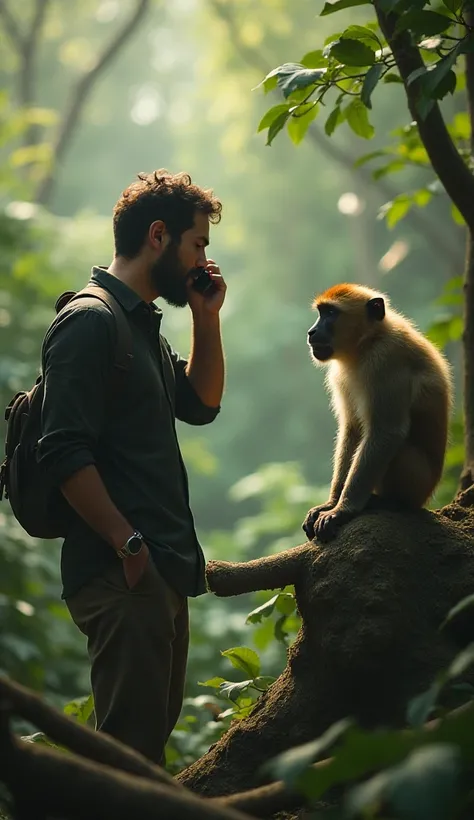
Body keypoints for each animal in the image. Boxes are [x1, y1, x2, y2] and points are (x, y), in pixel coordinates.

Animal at [304, 284, 452, 544]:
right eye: (321, 312)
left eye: (330, 313)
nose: (312, 332)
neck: (367, 342)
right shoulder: (340, 374)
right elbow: (352, 429)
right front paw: (332, 503)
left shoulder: (385, 361)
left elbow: (387, 432)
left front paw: (343, 510)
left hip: (419, 481)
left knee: (399, 448)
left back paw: (391, 503)